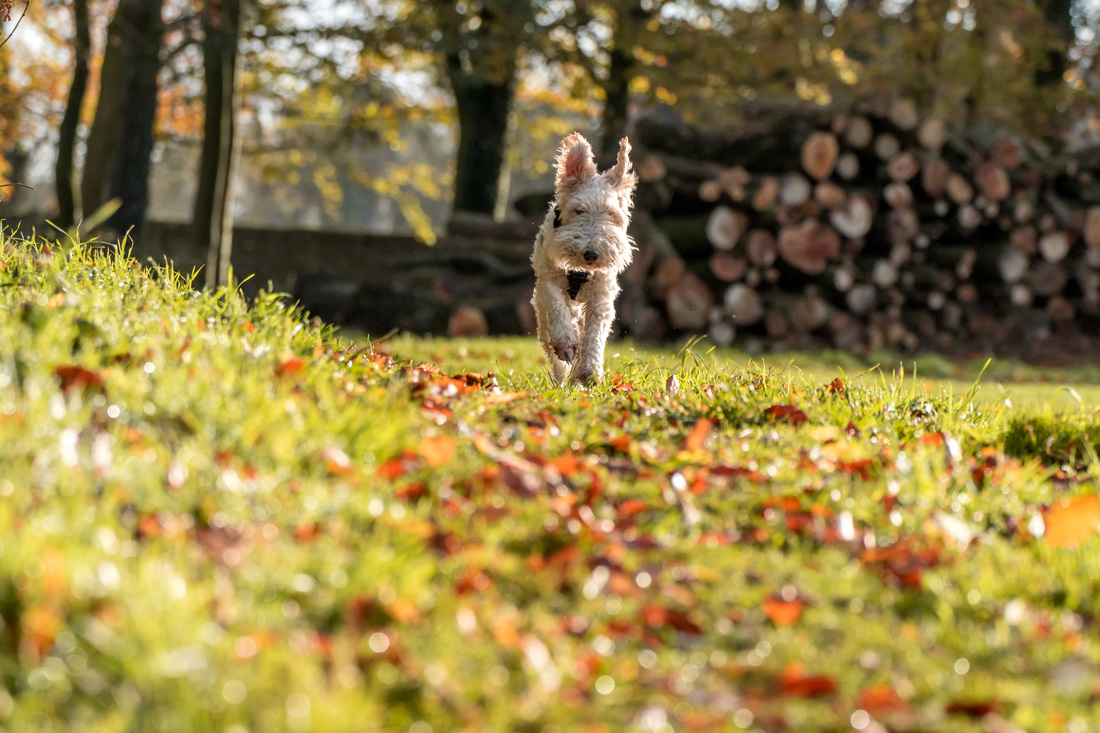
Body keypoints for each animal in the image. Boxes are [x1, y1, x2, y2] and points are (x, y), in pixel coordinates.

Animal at [530, 131, 638, 383]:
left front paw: (589, 371)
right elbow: (557, 307)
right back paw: (562, 377)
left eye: (611, 214)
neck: (580, 271)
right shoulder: (547, 279)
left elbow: (595, 334)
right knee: (552, 345)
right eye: (579, 210)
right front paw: (566, 345)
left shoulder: (602, 295)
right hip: (541, 314)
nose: (591, 254)